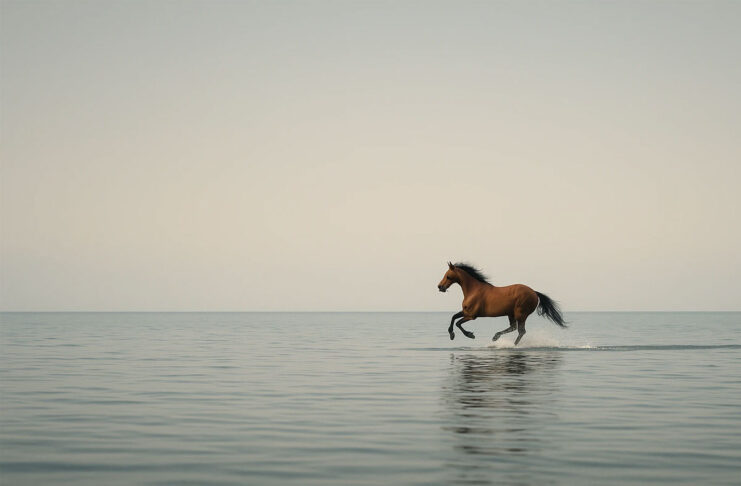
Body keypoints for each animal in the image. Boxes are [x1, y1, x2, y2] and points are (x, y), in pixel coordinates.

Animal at [437, 262, 566, 345]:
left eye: (448, 276)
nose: (440, 287)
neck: (473, 290)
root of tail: (534, 292)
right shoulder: (465, 312)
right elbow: (453, 317)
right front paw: (451, 335)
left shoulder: (471, 316)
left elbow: (458, 323)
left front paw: (470, 335)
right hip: (511, 314)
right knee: (513, 327)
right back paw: (496, 337)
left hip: (521, 314)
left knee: (521, 331)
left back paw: (512, 345)